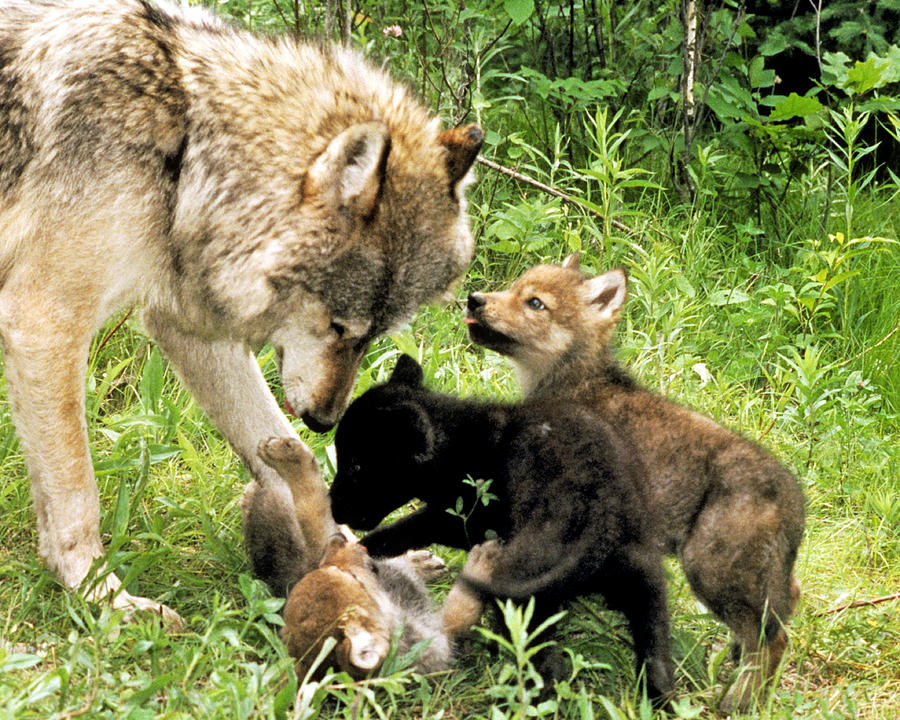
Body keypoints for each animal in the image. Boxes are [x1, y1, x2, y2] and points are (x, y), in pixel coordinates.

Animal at [0, 0, 486, 628]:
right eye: (338, 326)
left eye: (372, 336)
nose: (325, 420)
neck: (185, 149)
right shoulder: (44, 321)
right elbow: (76, 493)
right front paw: (101, 597)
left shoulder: (185, 327)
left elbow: (282, 446)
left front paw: (353, 557)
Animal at [244, 434, 486, 680]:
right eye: (354, 578)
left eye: (329, 567)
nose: (337, 541)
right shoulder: (442, 635)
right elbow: (464, 605)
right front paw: (483, 561)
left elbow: (313, 506)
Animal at [326, 358, 672, 700]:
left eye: (357, 465)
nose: (331, 505)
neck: (455, 445)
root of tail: (600, 514)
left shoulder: (468, 518)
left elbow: (411, 525)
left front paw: (366, 547)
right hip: (643, 574)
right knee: (655, 645)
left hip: (526, 591)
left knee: (545, 666)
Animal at [464, 253, 800, 708]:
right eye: (512, 287)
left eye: (534, 303)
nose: (474, 299)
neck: (572, 383)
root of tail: (794, 499)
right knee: (786, 608)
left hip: (709, 569)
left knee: (772, 639)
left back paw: (735, 703)